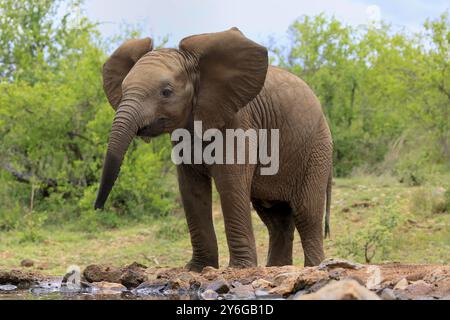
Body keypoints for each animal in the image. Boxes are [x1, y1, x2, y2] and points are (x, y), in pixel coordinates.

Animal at [95, 28, 332, 272]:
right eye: (123, 90)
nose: (98, 207)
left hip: (316, 150)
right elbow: (191, 188)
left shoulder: (238, 120)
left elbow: (230, 182)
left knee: (307, 213)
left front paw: (239, 268)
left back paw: (314, 267)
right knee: (276, 219)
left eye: (166, 92)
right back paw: (276, 268)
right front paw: (197, 268)